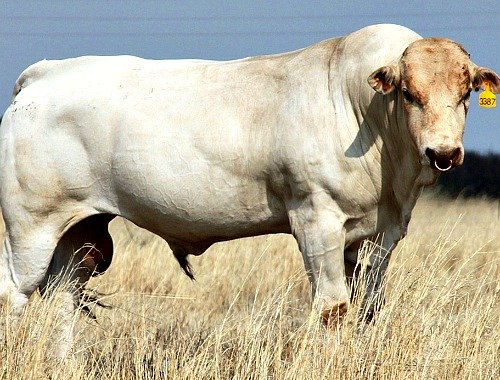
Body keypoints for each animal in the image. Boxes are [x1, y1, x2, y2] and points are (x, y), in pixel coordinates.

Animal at [0, 23, 500, 356]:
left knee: (64, 298)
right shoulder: (316, 218)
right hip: (29, 227)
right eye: (410, 95)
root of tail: (44, 74)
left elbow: (368, 310)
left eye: (465, 96)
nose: (443, 151)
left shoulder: (380, 234)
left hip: (76, 232)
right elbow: (333, 310)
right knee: (14, 295)